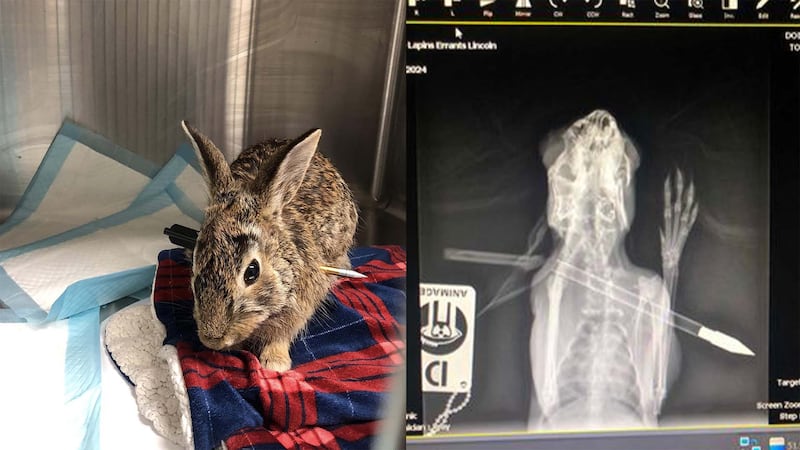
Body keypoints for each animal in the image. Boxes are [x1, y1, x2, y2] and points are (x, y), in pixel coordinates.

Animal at [181, 121, 358, 371]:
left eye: (252, 272)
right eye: (196, 264)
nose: (212, 339)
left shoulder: (299, 306)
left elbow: (281, 336)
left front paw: (275, 363)